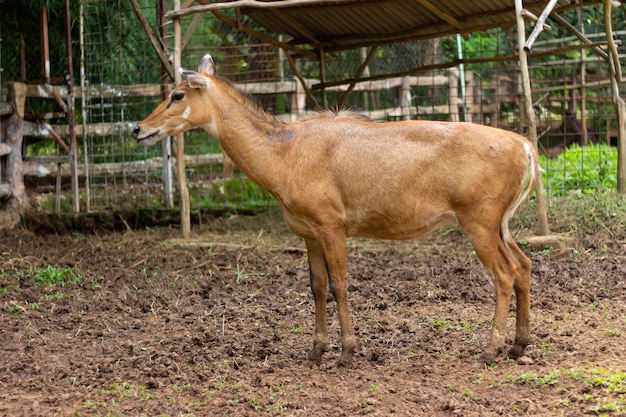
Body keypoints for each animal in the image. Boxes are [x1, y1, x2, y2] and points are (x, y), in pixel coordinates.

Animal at [134, 53, 540, 366]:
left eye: (177, 94)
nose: (138, 128)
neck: (282, 156)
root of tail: (525, 147)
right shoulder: (308, 233)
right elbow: (316, 286)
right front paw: (316, 351)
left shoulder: (332, 225)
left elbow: (340, 284)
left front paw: (347, 351)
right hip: (501, 224)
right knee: (523, 265)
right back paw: (518, 346)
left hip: (478, 220)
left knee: (504, 274)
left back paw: (490, 350)